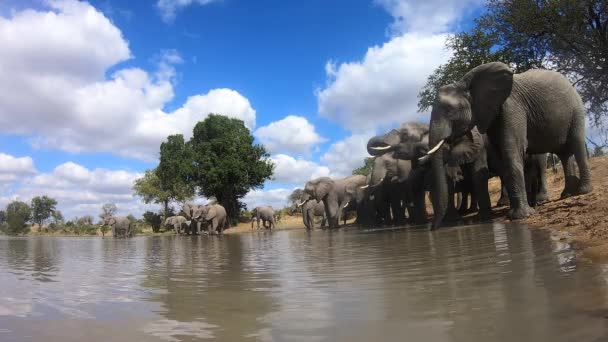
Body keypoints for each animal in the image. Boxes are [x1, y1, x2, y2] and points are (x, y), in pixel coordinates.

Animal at [426, 61, 592, 222]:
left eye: (449, 111)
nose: (434, 227)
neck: (465, 83)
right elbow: (500, 155)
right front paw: (514, 212)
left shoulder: (512, 107)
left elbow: (510, 149)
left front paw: (521, 216)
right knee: (564, 154)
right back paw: (567, 194)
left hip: (576, 109)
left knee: (575, 145)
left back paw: (580, 192)